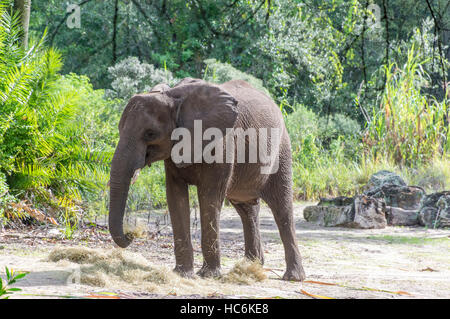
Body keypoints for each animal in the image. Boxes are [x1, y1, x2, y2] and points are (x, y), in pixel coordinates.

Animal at [108, 77, 306, 282]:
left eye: (150, 134)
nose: (132, 235)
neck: (172, 97)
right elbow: (175, 197)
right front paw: (182, 274)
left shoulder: (221, 144)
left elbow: (209, 196)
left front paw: (208, 275)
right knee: (247, 210)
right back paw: (252, 266)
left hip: (282, 150)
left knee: (281, 208)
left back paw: (292, 277)